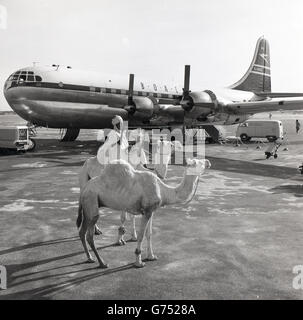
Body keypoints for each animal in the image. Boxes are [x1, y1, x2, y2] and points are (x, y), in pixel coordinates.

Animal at [77, 157, 211, 268]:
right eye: (198, 162)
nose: (208, 162)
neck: (163, 191)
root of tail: (84, 189)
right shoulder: (146, 212)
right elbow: (141, 235)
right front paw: (139, 262)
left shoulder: (151, 211)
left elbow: (149, 234)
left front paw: (151, 256)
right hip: (91, 201)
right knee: (89, 235)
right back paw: (102, 263)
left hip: (87, 207)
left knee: (82, 232)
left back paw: (90, 258)